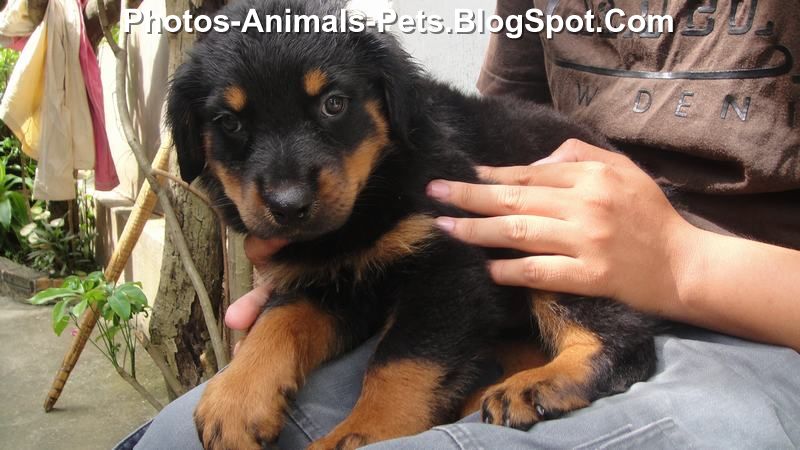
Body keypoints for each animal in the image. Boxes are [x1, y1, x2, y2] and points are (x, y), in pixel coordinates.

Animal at [167, 0, 656, 450]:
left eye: (333, 104)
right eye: (229, 122)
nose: (289, 206)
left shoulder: (447, 261)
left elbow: (402, 360)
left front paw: (363, 432)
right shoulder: (330, 281)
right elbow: (278, 319)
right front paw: (236, 398)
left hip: (553, 235)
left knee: (625, 341)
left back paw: (538, 385)